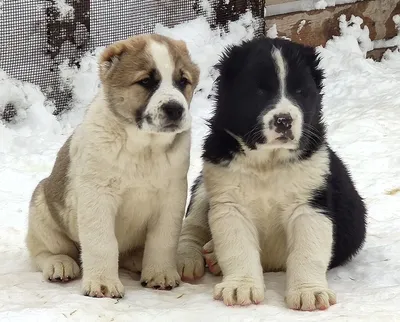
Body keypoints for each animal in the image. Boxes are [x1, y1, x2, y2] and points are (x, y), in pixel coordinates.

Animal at [25, 34, 200, 298]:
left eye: (183, 81)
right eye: (146, 81)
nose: (175, 109)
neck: (143, 148)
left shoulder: (172, 197)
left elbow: (163, 240)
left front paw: (160, 273)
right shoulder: (98, 196)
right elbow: (102, 242)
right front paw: (102, 283)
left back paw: (138, 260)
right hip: (42, 205)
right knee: (43, 251)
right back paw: (60, 264)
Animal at [177, 36, 368, 310]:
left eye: (300, 92)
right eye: (259, 91)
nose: (284, 120)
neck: (268, 163)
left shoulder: (309, 206)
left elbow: (307, 251)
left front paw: (309, 292)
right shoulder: (229, 204)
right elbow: (238, 248)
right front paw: (241, 287)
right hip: (204, 189)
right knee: (192, 226)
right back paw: (189, 258)